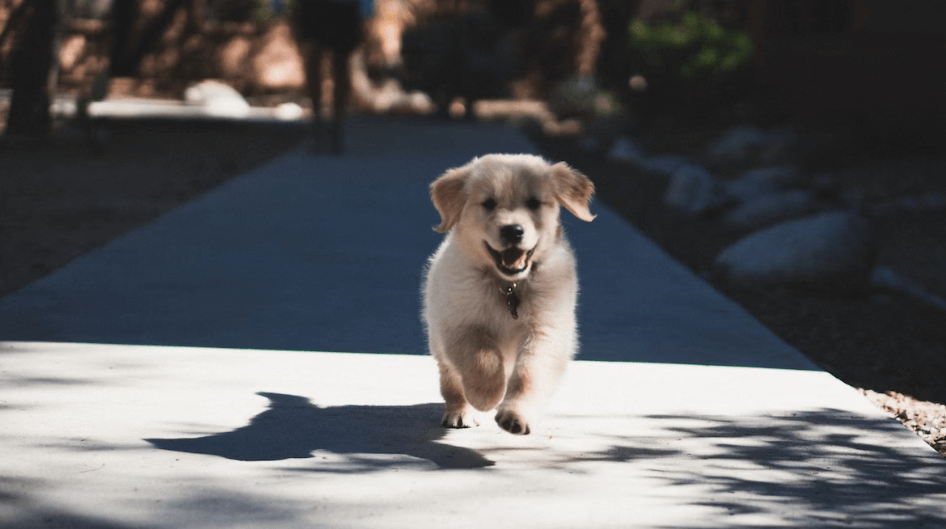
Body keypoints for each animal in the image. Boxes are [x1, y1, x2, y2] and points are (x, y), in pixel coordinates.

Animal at [424, 154, 592, 434]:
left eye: (533, 203)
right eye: (489, 203)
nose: (513, 230)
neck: (508, 285)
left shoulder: (546, 329)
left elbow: (529, 374)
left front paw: (516, 415)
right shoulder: (460, 324)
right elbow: (483, 359)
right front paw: (486, 396)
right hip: (438, 341)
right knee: (451, 381)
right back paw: (460, 411)